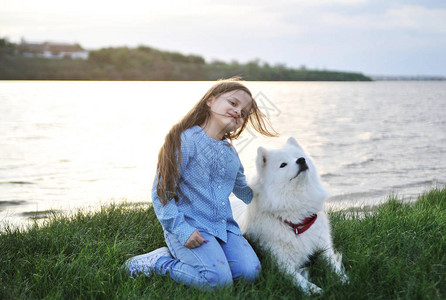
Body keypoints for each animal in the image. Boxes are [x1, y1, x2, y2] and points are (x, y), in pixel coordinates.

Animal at [232, 138, 350, 292]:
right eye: (283, 165)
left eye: (298, 156)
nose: (301, 160)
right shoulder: (281, 263)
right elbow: (299, 279)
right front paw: (316, 290)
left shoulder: (324, 247)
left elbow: (334, 265)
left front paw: (344, 280)